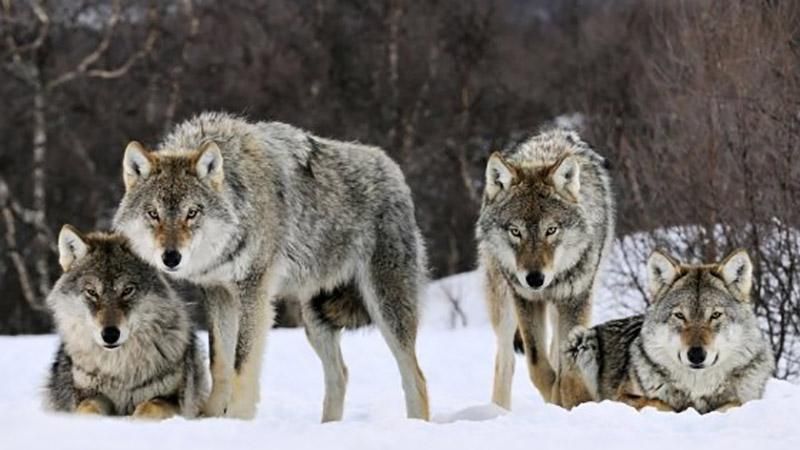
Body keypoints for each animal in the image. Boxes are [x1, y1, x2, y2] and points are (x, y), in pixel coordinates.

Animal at [44, 227, 208, 420]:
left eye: (127, 290)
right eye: (92, 292)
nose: (110, 334)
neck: (119, 370)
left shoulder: (173, 400)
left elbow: (148, 408)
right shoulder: (89, 395)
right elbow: (87, 409)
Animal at [113, 110, 432, 420]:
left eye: (192, 213)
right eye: (153, 213)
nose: (171, 257)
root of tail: (393, 169)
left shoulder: (254, 292)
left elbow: (242, 364)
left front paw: (237, 420)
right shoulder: (217, 293)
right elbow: (220, 362)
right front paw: (211, 417)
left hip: (385, 308)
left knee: (416, 377)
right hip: (315, 319)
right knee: (340, 375)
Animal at [478, 128, 616, 410]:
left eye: (551, 230)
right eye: (515, 231)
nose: (534, 279)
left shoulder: (576, 299)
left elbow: (565, 367)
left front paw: (565, 401)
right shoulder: (526, 299)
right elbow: (538, 366)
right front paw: (554, 397)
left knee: (554, 349)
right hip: (503, 303)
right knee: (505, 361)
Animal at [564, 248, 776, 414]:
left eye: (715, 315)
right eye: (680, 316)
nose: (696, 355)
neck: (697, 388)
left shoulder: (746, 399)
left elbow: (734, 403)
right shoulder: (622, 397)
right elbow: (658, 402)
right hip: (580, 340)